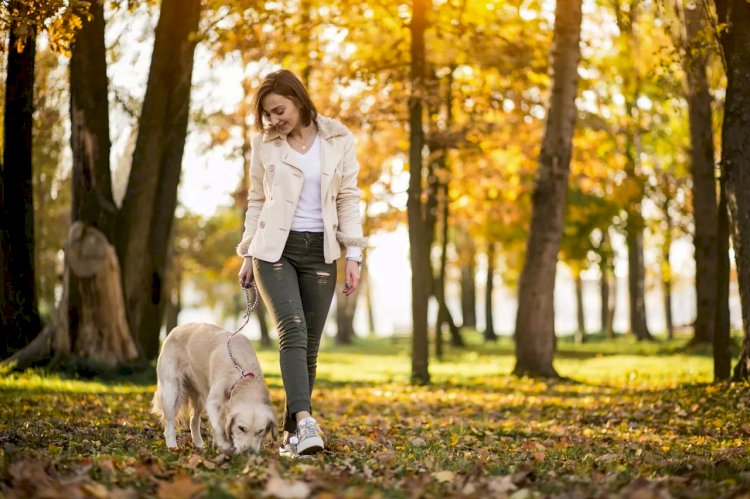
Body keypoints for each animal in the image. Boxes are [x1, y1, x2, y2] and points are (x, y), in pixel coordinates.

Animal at [153, 322, 280, 456]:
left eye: (260, 431)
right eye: (241, 428)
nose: (248, 453)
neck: (241, 373)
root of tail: (177, 328)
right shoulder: (213, 402)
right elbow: (219, 427)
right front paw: (224, 445)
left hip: (198, 398)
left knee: (193, 420)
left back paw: (199, 444)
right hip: (171, 391)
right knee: (169, 426)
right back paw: (172, 447)